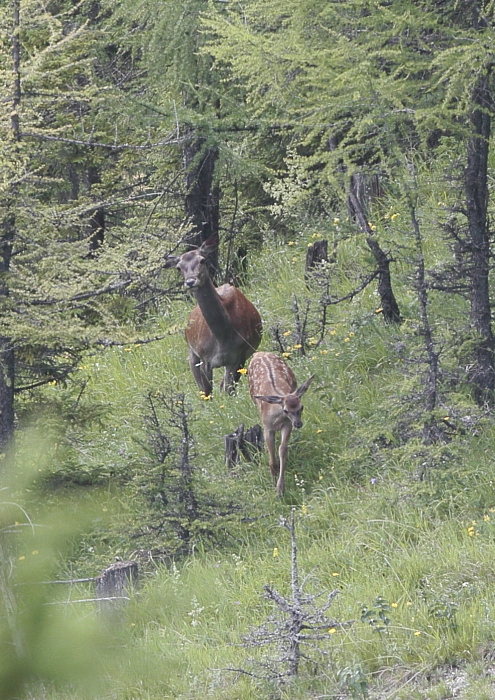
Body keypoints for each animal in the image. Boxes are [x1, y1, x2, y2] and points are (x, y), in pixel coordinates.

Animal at [165, 232, 264, 392]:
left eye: (202, 260)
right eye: (178, 268)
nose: (190, 282)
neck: (222, 337)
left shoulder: (239, 356)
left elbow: (228, 390)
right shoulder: (204, 357)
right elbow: (207, 391)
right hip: (191, 352)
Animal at [248, 350, 314, 498]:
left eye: (301, 407)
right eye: (286, 410)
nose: (298, 424)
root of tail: (258, 352)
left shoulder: (287, 425)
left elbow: (282, 449)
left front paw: (280, 489)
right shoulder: (267, 428)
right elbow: (271, 455)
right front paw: (273, 480)